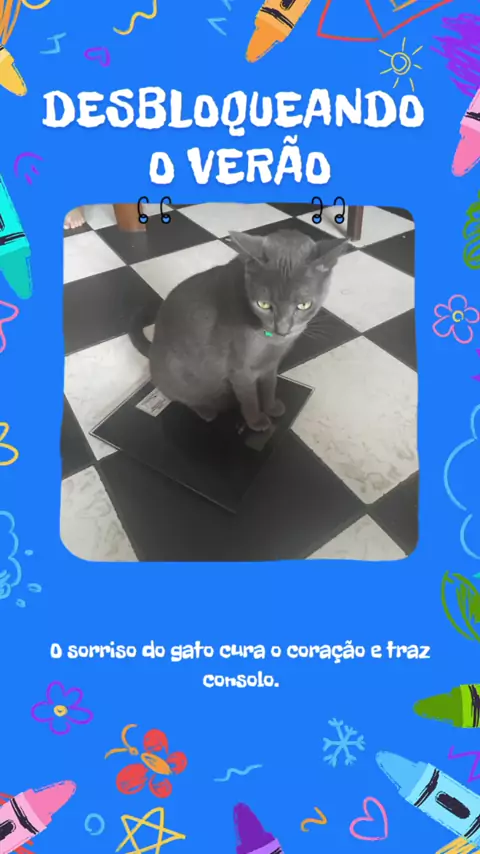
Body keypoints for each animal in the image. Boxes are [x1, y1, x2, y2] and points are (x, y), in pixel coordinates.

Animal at [129, 229, 348, 432]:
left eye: (304, 305)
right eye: (263, 304)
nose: (282, 329)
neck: (273, 343)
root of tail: (152, 348)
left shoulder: (271, 364)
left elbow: (270, 385)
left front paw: (271, 407)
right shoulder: (240, 370)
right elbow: (250, 399)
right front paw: (257, 421)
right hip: (174, 374)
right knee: (184, 398)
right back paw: (207, 411)